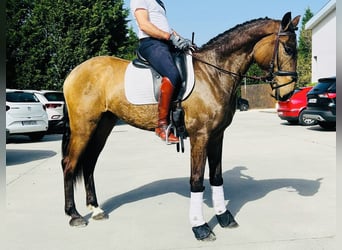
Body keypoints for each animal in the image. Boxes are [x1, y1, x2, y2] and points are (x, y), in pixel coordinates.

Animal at [60, 11, 300, 240]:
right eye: (288, 49)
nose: (288, 93)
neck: (214, 72)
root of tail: (74, 72)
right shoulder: (200, 136)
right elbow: (196, 181)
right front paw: (200, 227)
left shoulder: (217, 135)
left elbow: (216, 177)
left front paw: (224, 217)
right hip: (83, 127)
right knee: (70, 164)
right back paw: (74, 214)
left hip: (103, 125)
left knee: (89, 163)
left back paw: (95, 208)